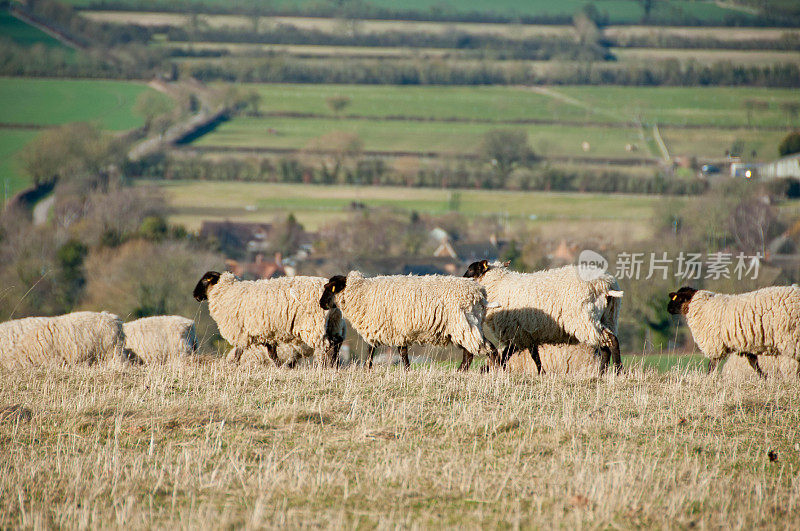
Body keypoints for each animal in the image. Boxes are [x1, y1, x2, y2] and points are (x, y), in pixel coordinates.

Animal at [195, 272, 346, 368]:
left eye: (205, 279)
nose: (195, 295)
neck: (226, 292)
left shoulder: (241, 331)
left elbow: (239, 351)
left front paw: (233, 365)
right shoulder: (266, 332)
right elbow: (271, 353)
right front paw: (279, 366)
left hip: (313, 325)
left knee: (327, 345)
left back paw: (325, 366)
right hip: (334, 323)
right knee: (336, 342)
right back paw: (334, 365)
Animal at [318, 272, 494, 372]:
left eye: (328, 288)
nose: (321, 304)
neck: (361, 293)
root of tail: (480, 293)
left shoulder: (385, 326)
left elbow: (374, 349)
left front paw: (367, 368)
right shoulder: (395, 329)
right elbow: (399, 351)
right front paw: (407, 369)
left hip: (462, 324)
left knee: (476, 350)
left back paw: (469, 371)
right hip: (470, 324)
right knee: (481, 348)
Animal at [462, 262, 624, 374]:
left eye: (471, 269)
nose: (462, 279)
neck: (499, 284)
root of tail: (606, 285)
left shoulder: (517, 331)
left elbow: (511, 355)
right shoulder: (526, 333)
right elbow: (533, 355)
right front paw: (541, 373)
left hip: (585, 320)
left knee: (611, 341)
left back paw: (618, 370)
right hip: (608, 317)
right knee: (606, 346)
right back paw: (601, 373)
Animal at [664, 286, 800, 378]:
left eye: (677, 299)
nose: (667, 308)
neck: (701, 306)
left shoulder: (715, 345)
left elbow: (711, 366)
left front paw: (707, 380)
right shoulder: (746, 344)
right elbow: (754, 363)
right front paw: (764, 378)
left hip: (791, 337)